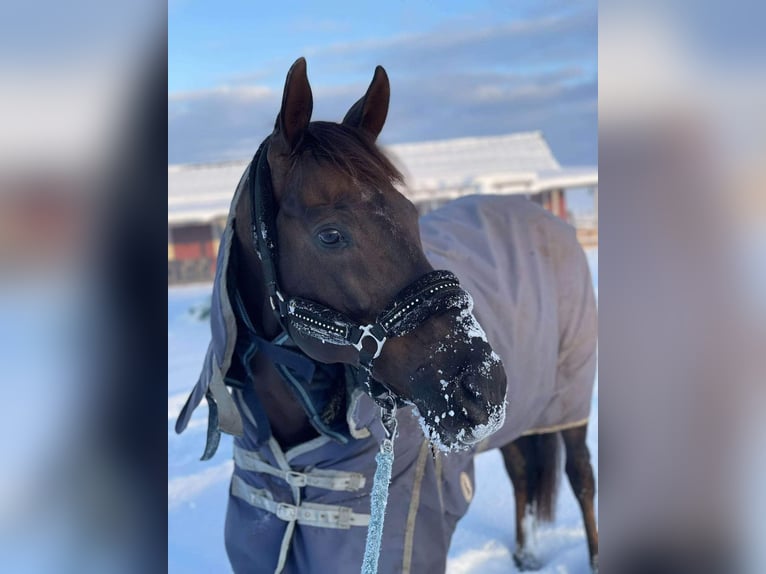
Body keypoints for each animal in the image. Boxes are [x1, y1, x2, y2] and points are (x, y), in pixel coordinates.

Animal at [176, 59, 600, 574]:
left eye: (411, 214)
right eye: (330, 235)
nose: (483, 385)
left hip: (570, 400)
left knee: (581, 478)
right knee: (522, 470)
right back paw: (524, 553)